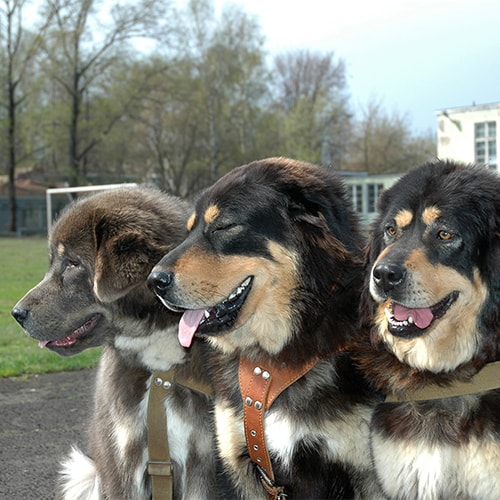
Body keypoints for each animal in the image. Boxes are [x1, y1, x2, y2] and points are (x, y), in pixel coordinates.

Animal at [148, 157, 382, 500]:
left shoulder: (365, 471)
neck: (273, 363)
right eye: (189, 231)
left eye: (223, 226)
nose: (154, 281)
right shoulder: (242, 465)